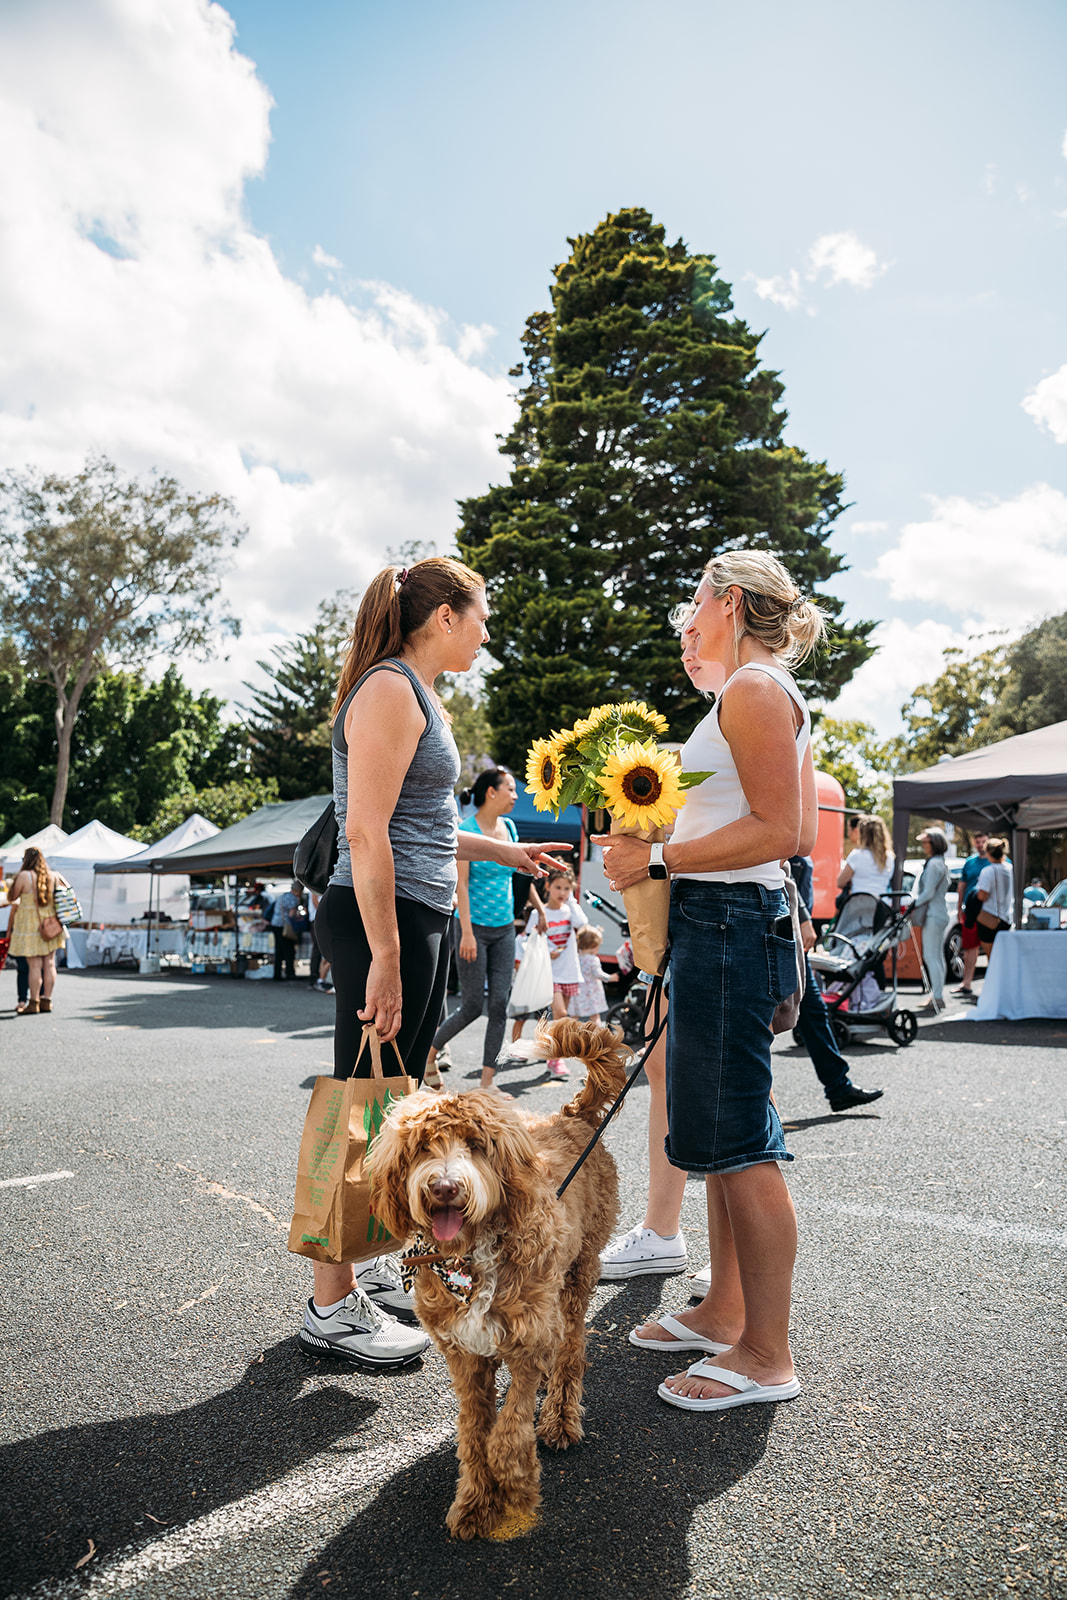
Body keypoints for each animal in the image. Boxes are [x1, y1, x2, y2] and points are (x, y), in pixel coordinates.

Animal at [371, 1024, 630, 1536]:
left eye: (475, 1145)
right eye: (423, 1147)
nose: (444, 1187)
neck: (471, 1258)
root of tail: (574, 1116)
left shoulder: (527, 1338)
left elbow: (509, 1427)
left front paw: (515, 1483)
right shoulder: (464, 1352)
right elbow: (474, 1430)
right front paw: (474, 1500)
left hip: (578, 1273)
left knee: (571, 1349)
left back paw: (560, 1419)